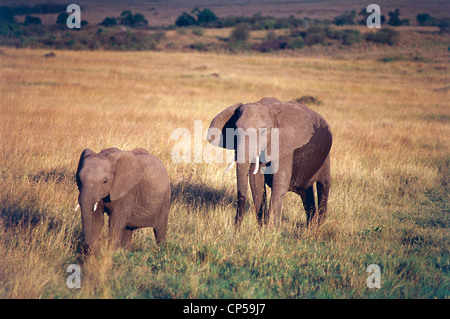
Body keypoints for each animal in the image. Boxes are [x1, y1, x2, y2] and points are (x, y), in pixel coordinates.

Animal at [207, 97, 330, 228]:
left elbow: (280, 182)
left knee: (324, 186)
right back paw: (311, 226)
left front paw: (272, 229)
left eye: (262, 132)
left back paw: (318, 227)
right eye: (234, 130)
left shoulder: (286, 145)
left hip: (326, 157)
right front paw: (262, 227)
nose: (236, 227)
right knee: (306, 191)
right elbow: (256, 181)